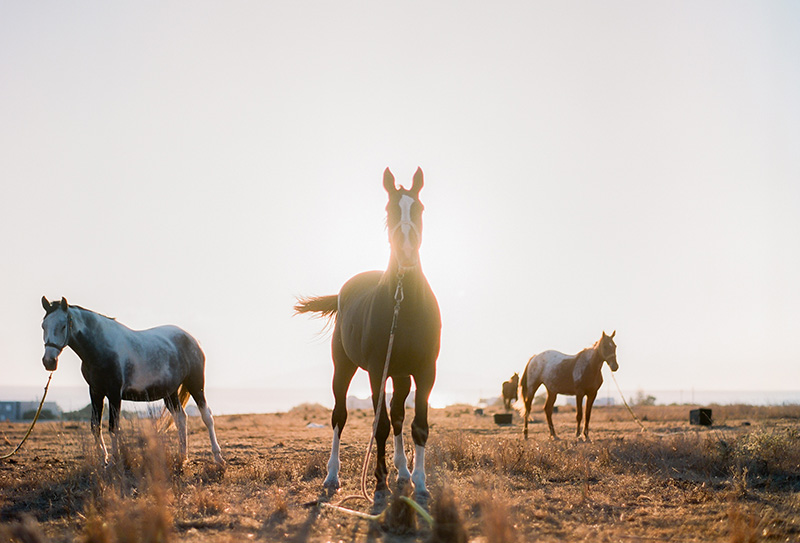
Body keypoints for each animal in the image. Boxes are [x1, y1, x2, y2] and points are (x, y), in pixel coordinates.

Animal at [41, 296, 225, 466]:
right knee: (181, 418)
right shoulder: (95, 391)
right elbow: (95, 426)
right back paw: (182, 457)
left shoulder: (114, 393)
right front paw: (103, 460)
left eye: (63, 326)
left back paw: (218, 458)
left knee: (206, 416)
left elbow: (113, 427)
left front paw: (115, 461)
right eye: (43, 326)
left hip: (196, 384)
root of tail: (193, 340)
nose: (49, 362)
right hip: (170, 392)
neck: (101, 346)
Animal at [296, 168, 444, 500]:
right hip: (345, 367)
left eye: (420, 208)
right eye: (389, 210)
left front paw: (420, 483)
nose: (406, 252)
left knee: (399, 414)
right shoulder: (377, 371)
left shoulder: (425, 371)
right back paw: (332, 476)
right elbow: (380, 426)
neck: (404, 303)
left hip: (401, 375)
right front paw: (379, 481)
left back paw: (403, 472)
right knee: (340, 416)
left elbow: (418, 425)